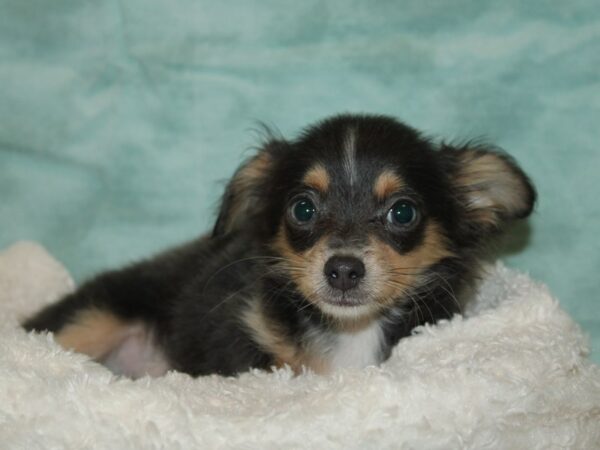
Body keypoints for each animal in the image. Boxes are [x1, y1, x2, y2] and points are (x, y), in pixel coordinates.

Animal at [22, 114, 536, 378]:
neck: (350, 332)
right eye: (303, 209)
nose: (343, 269)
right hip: (94, 315)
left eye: (403, 213)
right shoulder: (235, 335)